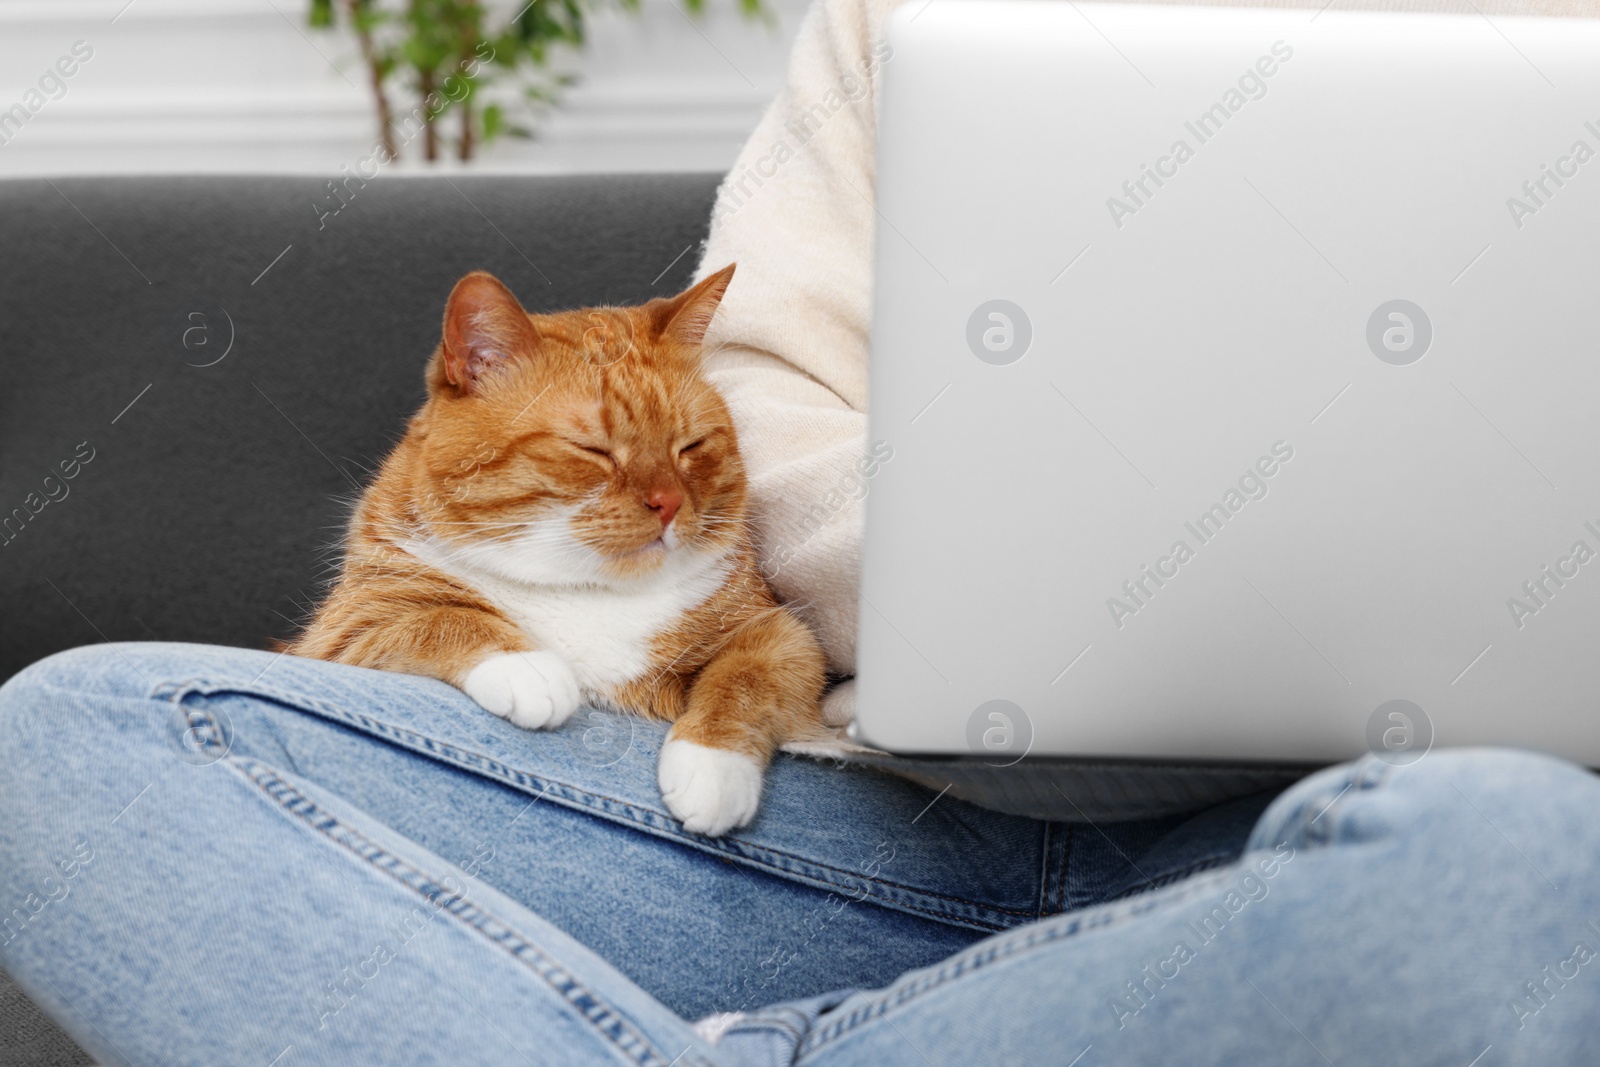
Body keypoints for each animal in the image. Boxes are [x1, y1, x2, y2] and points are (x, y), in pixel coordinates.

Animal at [289, 265, 832, 831]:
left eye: (690, 446)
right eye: (593, 450)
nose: (669, 502)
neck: (582, 586)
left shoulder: (780, 632)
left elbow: (744, 676)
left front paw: (713, 768)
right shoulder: (340, 632)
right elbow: (438, 617)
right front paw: (528, 668)